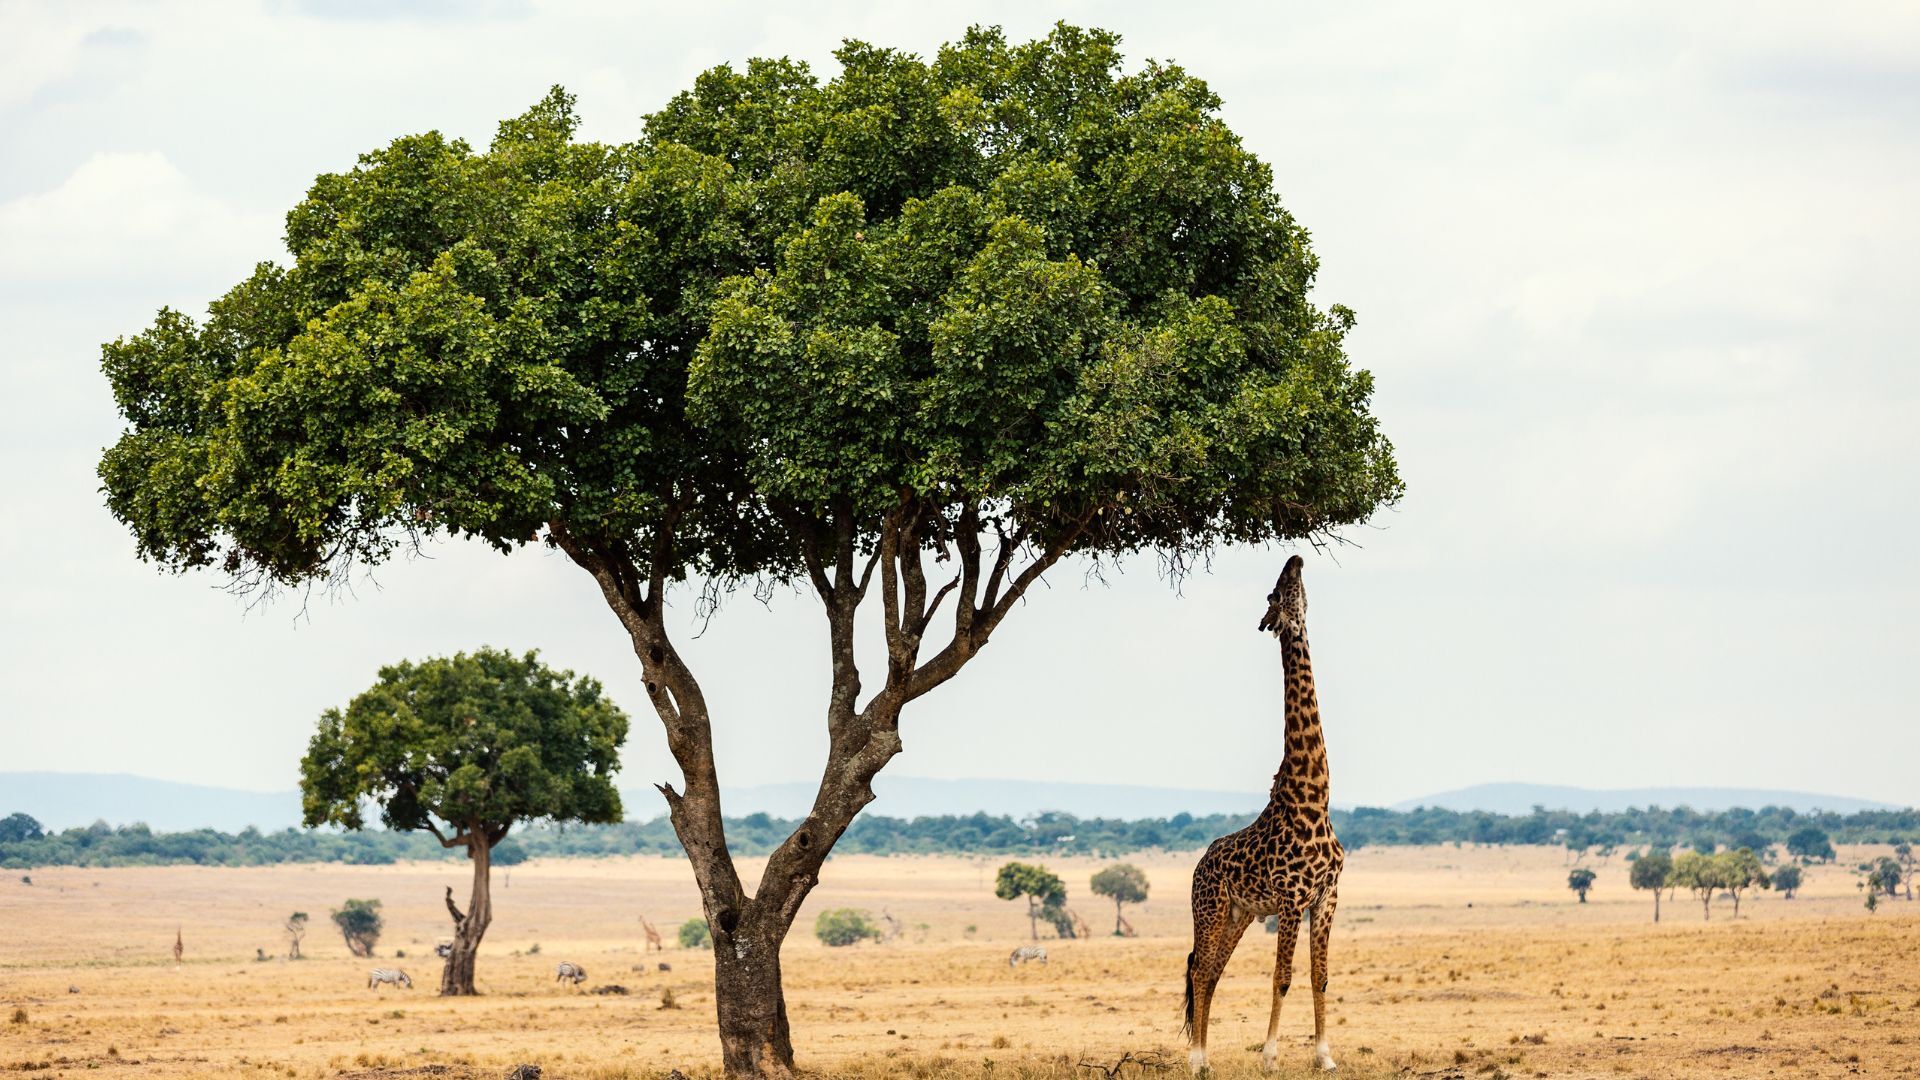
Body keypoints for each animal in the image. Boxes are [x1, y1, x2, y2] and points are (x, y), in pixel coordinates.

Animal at [1183, 555, 1344, 1074]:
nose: (1294, 559)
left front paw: (1324, 1057)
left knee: (1212, 972)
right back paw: (1197, 1060)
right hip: (1210, 908)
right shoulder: (1292, 898)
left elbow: (1319, 977)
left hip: (1239, 914)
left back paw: (1206, 1058)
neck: (1313, 798)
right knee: (1199, 970)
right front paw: (1271, 1057)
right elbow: (1282, 977)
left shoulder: (1327, 897)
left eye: (1290, 585)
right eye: (1275, 594)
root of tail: (1199, 864)